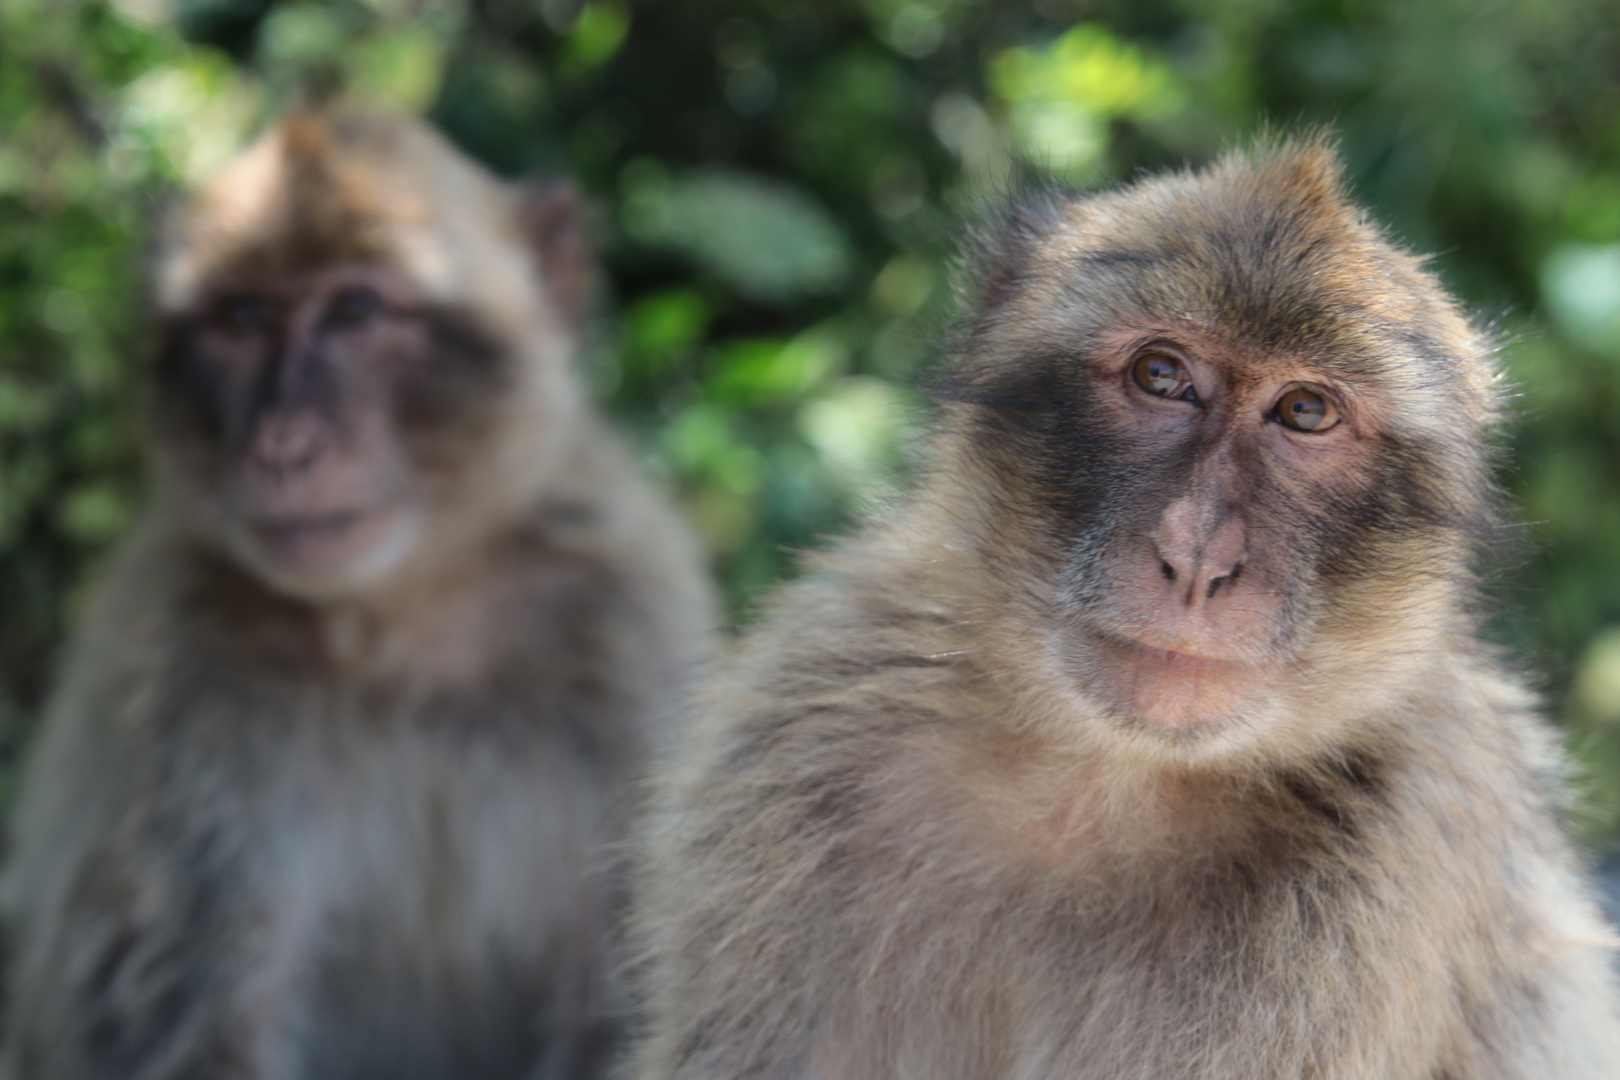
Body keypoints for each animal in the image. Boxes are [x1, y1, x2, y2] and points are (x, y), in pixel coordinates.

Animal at [0, 111, 719, 1080]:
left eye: (355, 311)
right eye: (240, 319)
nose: (283, 446)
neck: (398, 617)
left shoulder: (628, 639)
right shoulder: (182, 675)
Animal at [625, 143, 1620, 1080]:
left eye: (1304, 411)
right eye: (1161, 375)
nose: (1198, 555)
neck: (1102, 777)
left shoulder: (1380, 867)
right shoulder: (799, 731)